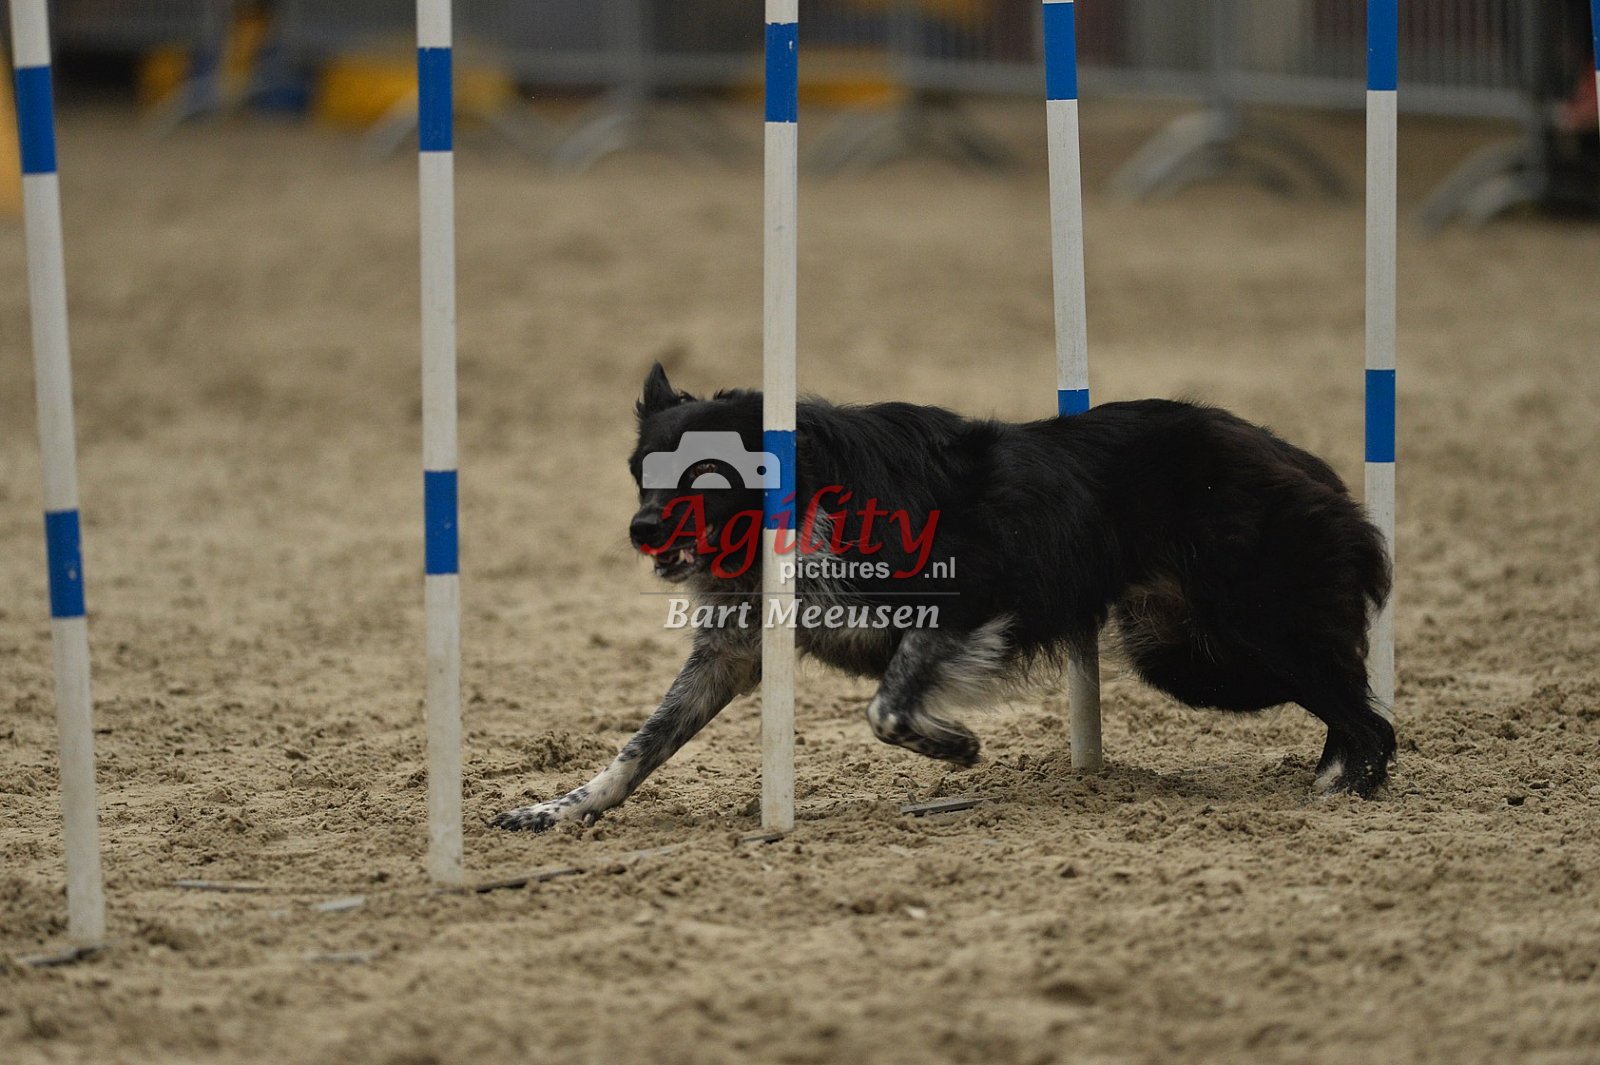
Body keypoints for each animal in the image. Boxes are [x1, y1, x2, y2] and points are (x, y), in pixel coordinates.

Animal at [491, 363, 1395, 832]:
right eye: (642, 471)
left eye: (707, 474)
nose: (641, 529)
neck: (803, 499)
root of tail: (1298, 459)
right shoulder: (733, 652)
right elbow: (639, 745)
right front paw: (557, 808)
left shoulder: (968, 593)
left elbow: (887, 704)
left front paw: (954, 746)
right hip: (1187, 654)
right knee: (1354, 703)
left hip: (1253, 632)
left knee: (1369, 714)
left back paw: (1347, 795)